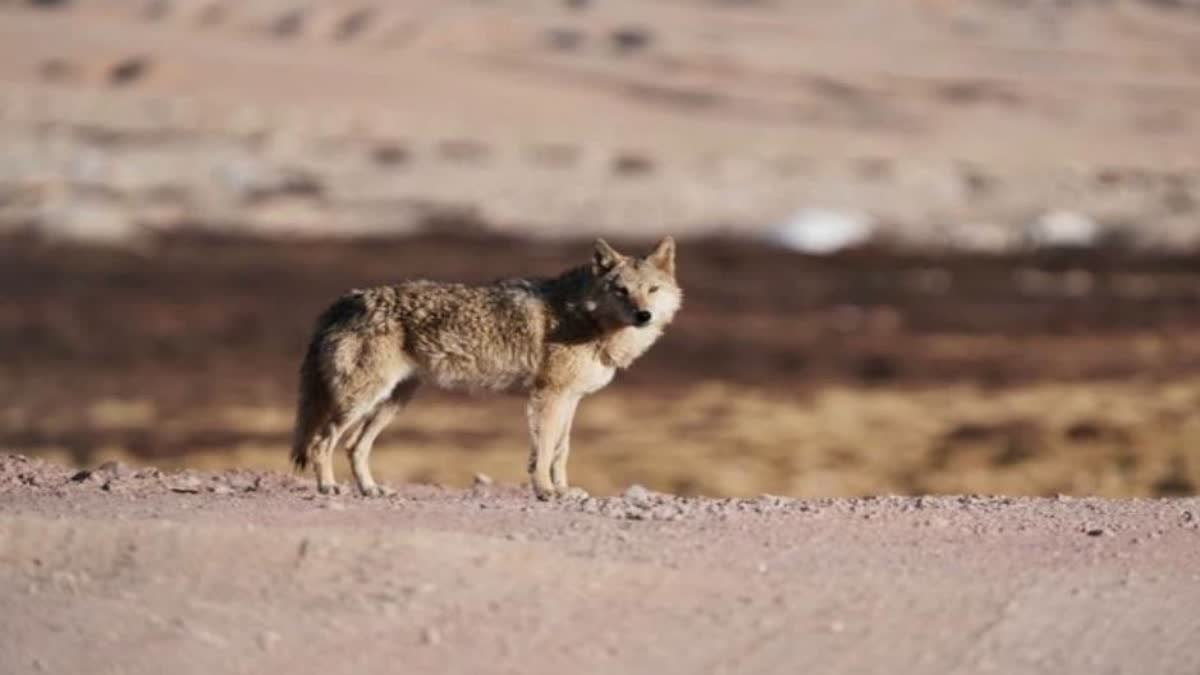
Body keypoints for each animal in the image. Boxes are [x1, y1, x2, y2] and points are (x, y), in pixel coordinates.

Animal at [291, 237, 681, 499]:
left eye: (652, 289)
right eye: (621, 290)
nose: (643, 315)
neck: (586, 317)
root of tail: (347, 299)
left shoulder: (571, 399)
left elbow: (561, 451)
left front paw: (564, 490)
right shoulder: (548, 397)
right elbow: (542, 451)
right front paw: (545, 491)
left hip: (392, 402)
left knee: (354, 446)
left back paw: (371, 489)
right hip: (360, 401)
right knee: (321, 441)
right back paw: (328, 486)